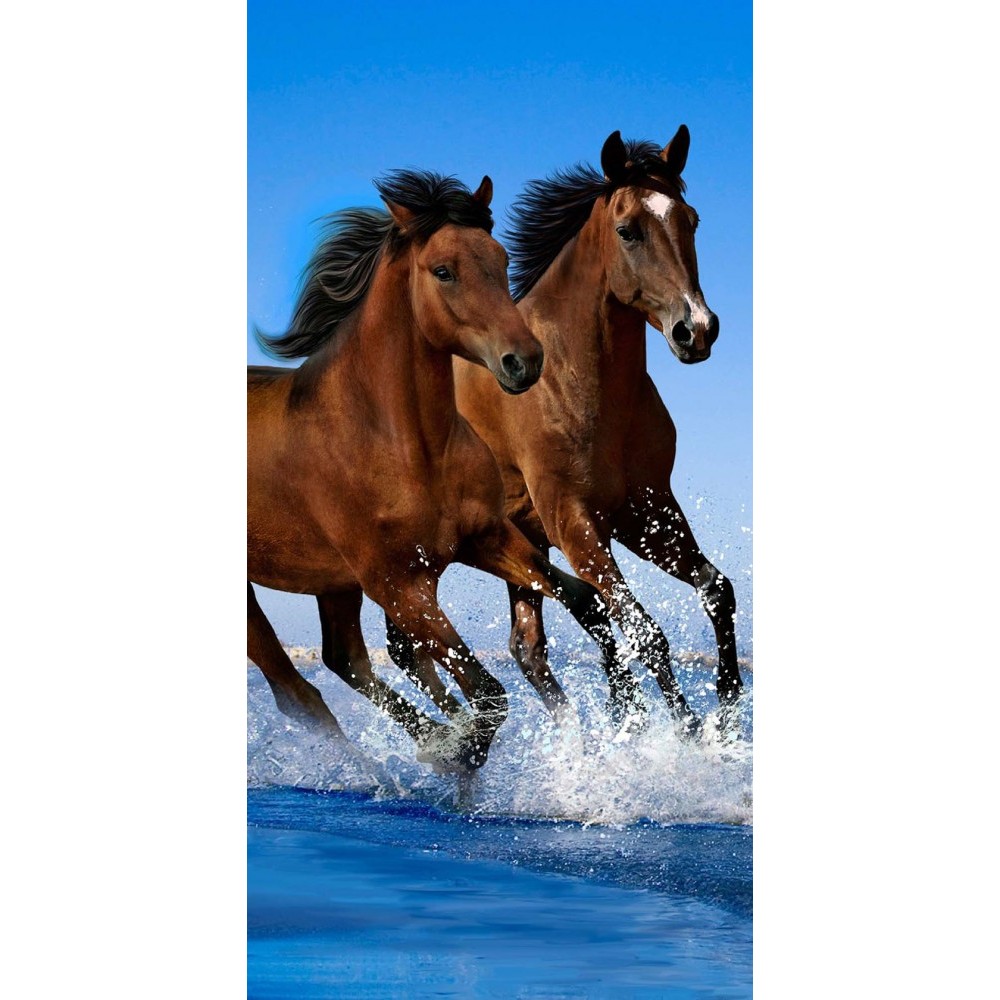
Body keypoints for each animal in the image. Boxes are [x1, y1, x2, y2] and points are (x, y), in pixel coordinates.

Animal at [248, 169, 612, 773]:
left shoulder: (484, 538)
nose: (525, 361)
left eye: (502, 258)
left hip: (335, 583)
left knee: (345, 658)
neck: (407, 445)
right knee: (297, 692)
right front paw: (459, 748)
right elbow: (488, 693)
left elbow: (583, 600)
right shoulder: (400, 585)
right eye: (443, 271)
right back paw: (385, 771)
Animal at [381, 128, 744, 735]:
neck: (577, 382)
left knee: (527, 645)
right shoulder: (573, 520)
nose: (696, 330)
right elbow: (644, 630)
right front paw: (688, 736)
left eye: (690, 220)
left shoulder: (644, 510)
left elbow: (716, 590)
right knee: (408, 646)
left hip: (516, 544)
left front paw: (728, 714)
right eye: (627, 230)